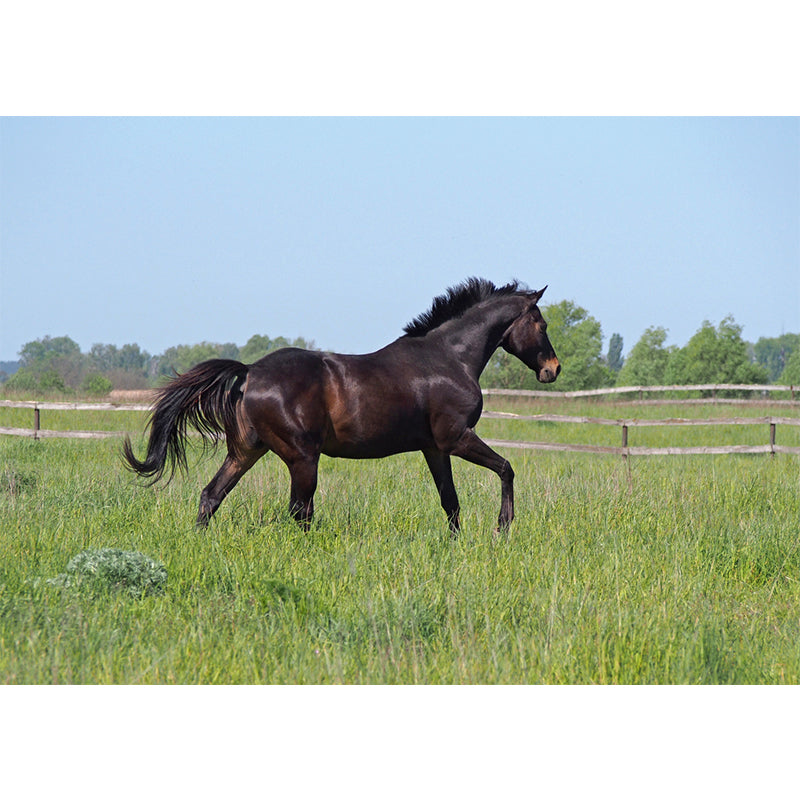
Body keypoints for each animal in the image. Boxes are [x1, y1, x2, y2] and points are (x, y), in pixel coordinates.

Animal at [122, 278, 560, 534]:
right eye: (541, 323)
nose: (552, 369)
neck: (449, 358)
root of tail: (249, 374)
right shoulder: (455, 438)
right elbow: (506, 468)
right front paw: (503, 527)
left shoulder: (434, 448)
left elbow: (450, 502)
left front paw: (459, 543)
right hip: (302, 457)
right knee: (299, 510)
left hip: (247, 451)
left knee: (212, 495)